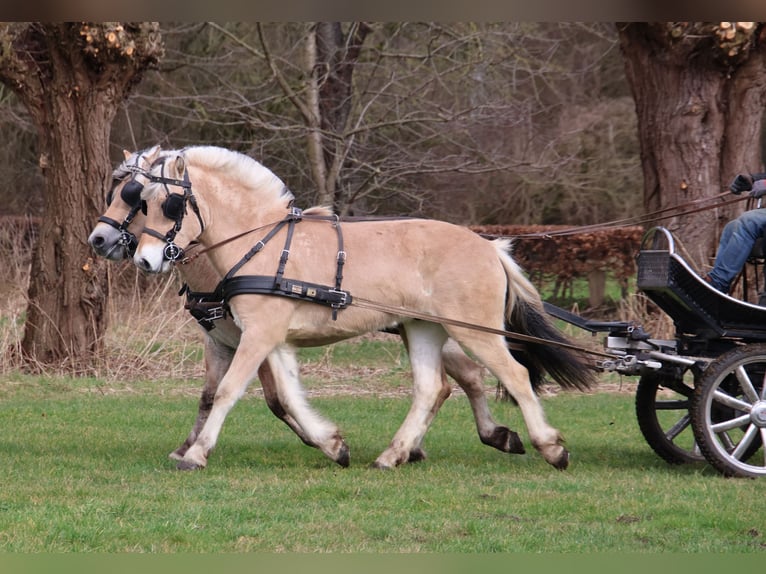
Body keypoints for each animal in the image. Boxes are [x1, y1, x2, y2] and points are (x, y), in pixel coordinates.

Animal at [132, 147, 592, 472]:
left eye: (171, 206)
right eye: (141, 202)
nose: (145, 260)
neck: (261, 244)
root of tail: (490, 247)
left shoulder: (259, 334)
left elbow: (229, 391)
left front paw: (196, 454)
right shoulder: (273, 339)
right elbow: (288, 397)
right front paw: (332, 444)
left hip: (475, 330)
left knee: (513, 376)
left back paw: (550, 448)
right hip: (424, 328)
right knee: (431, 388)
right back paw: (394, 454)